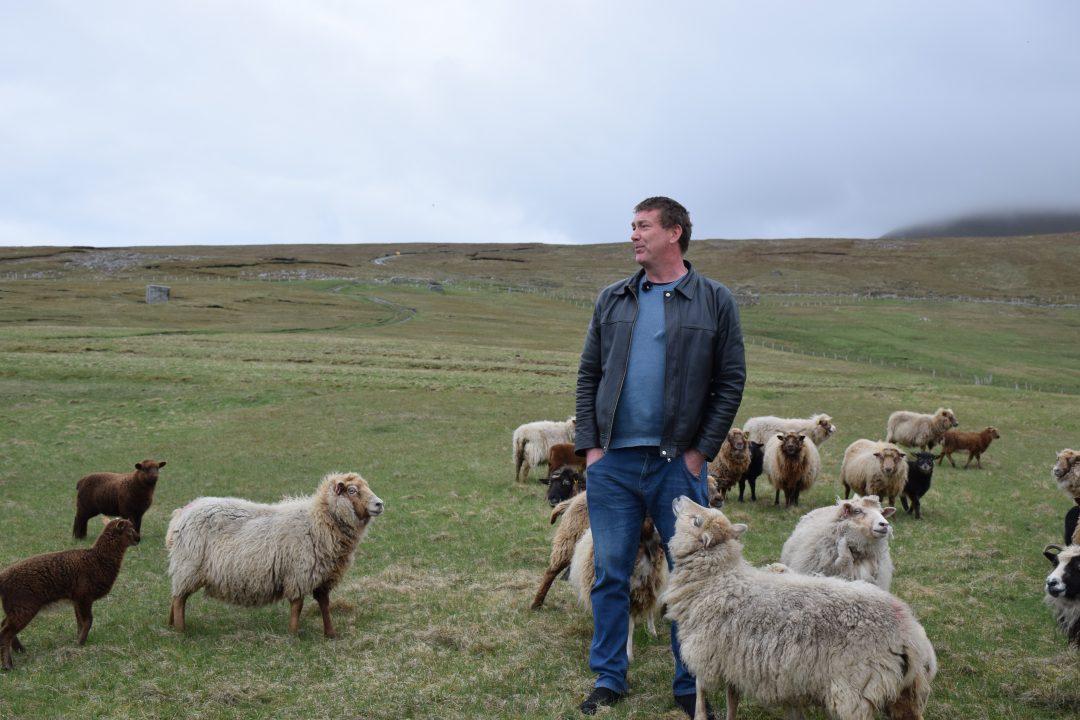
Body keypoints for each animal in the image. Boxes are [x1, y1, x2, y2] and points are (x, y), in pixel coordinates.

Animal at [0, 518, 141, 669]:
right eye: (130, 530)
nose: (139, 539)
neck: (97, 559)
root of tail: (3, 578)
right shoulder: (84, 596)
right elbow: (88, 621)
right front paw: (80, 643)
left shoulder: (76, 600)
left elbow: (80, 622)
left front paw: (78, 641)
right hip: (24, 606)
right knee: (6, 632)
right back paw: (8, 665)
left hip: (14, 606)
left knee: (4, 625)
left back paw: (20, 650)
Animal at [166, 472, 386, 634]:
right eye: (352, 490)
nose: (380, 504)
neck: (319, 521)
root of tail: (182, 513)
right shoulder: (299, 573)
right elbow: (297, 605)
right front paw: (293, 634)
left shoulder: (324, 575)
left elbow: (324, 604)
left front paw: (330, 634)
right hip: (189, 566)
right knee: (179, 599)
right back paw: (181, 631)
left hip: (184, 568)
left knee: (176, 596)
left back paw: (171, 624)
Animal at [656, 498, 937, 720]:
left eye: (697, 520)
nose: (679, 497)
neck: (718, 580)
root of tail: (911, 634)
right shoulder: (733, 660)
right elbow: (732, 700)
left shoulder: (707, 653)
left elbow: (700, 693)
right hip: (905, 692)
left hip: (855, 692)